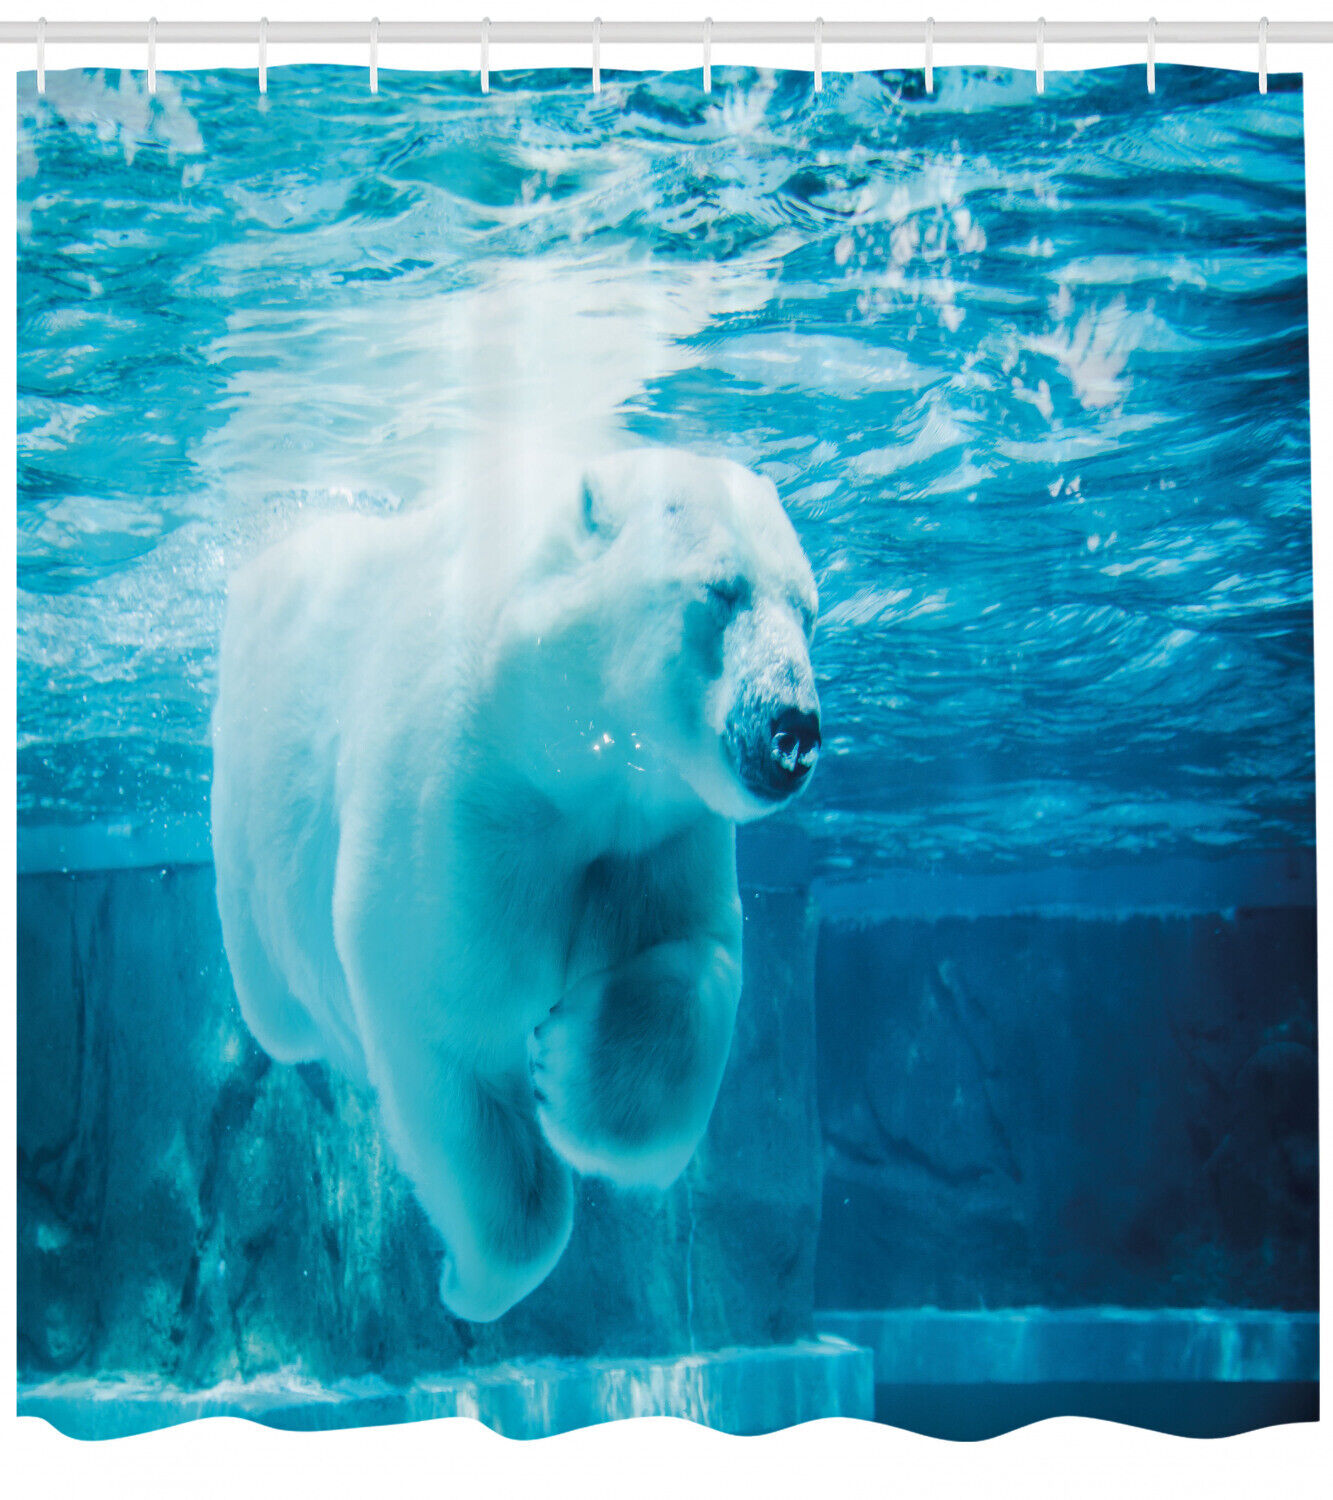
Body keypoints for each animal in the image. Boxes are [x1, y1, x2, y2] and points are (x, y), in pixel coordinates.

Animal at [210, 447, 821, 1322]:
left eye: (808, 612)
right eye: (720, 589)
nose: (791, 728)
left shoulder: (661, 827)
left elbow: (694, 949)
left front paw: (568, 1070)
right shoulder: (464, 790)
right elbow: (450, 1026)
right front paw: (470, 1284)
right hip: (247, 813)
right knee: (274, 994)